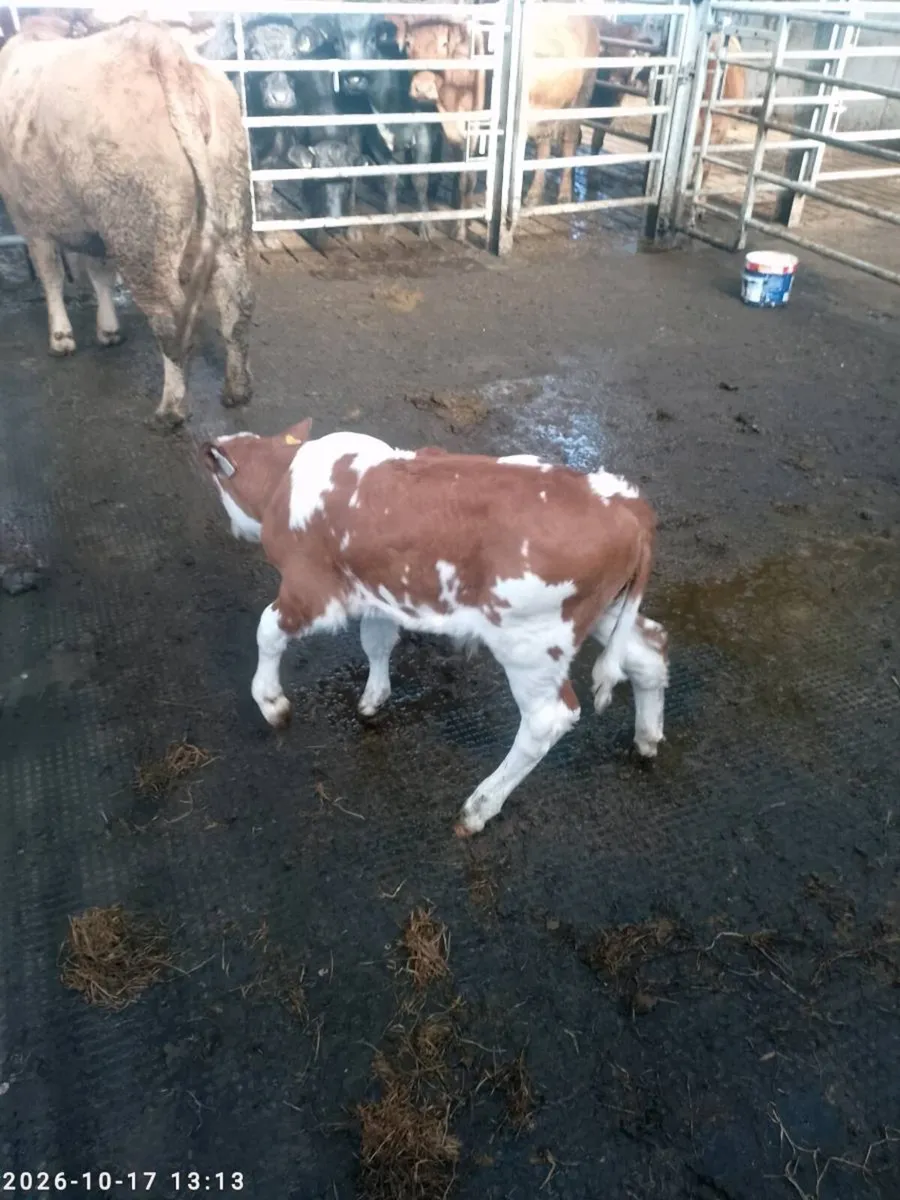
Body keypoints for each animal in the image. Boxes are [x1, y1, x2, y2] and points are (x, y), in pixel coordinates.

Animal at [0, 16, 253, 425]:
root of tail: (159, 47)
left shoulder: (29, 216)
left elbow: (51, 275)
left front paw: (61, 338)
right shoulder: (91, 225)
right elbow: (99, 272)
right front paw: (108, 331)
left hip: (138, 227)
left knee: (171, 318)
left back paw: (170, 409)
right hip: (227, 197)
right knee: (236, 297)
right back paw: (237, 389)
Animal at [201, 421, 669, 837]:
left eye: (220, 488)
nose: (233, 528)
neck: (286, 481)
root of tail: (626, 505)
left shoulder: (312, 591)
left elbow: (267, 630)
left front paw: (272, 703)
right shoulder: (379, 590)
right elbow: (375, 643)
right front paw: (373, 698)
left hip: (530, 643)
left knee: (547, 720)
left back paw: (479, 807)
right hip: (606, 611)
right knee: (650, 651)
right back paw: (646, 740)